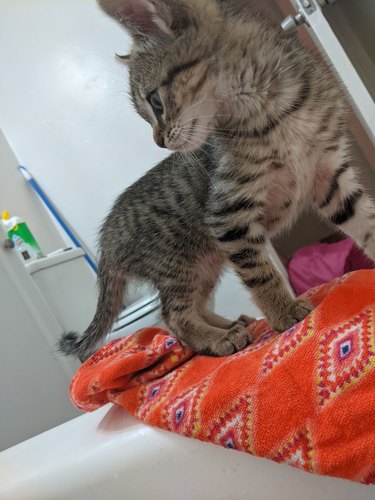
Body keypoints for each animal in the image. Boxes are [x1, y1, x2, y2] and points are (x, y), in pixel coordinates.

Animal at [60, 0, 375, 360]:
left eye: (155, 102)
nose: (159, 141)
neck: (274, 110)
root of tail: (106, 242)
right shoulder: (227, 213)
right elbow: (260, 273)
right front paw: (283, 312)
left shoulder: (330, 178)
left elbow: (366, 222)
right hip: (177, 264)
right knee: (173, 317)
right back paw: (215, 338)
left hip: (206, 264)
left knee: (193, 306)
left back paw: (231, 324)